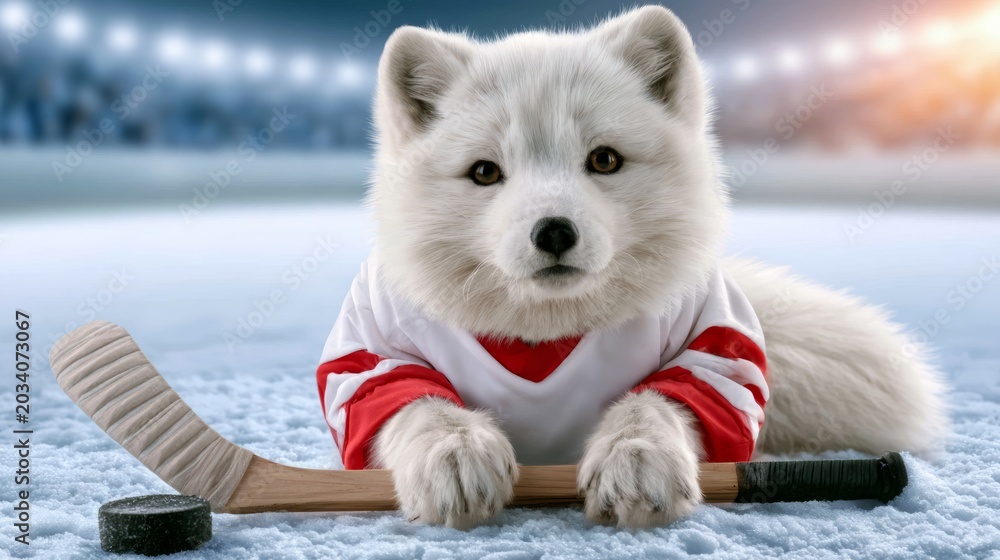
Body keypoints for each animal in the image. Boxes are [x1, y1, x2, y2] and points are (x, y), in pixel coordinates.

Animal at [315, 5, 948, 529]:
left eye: (604, 160)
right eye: (485, 172)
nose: (554, 231)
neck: (545, 334)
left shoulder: (716, 348)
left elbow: (655, 402)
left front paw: (637, 460)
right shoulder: (370, 353)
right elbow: (420, 404)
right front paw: (455, 455)